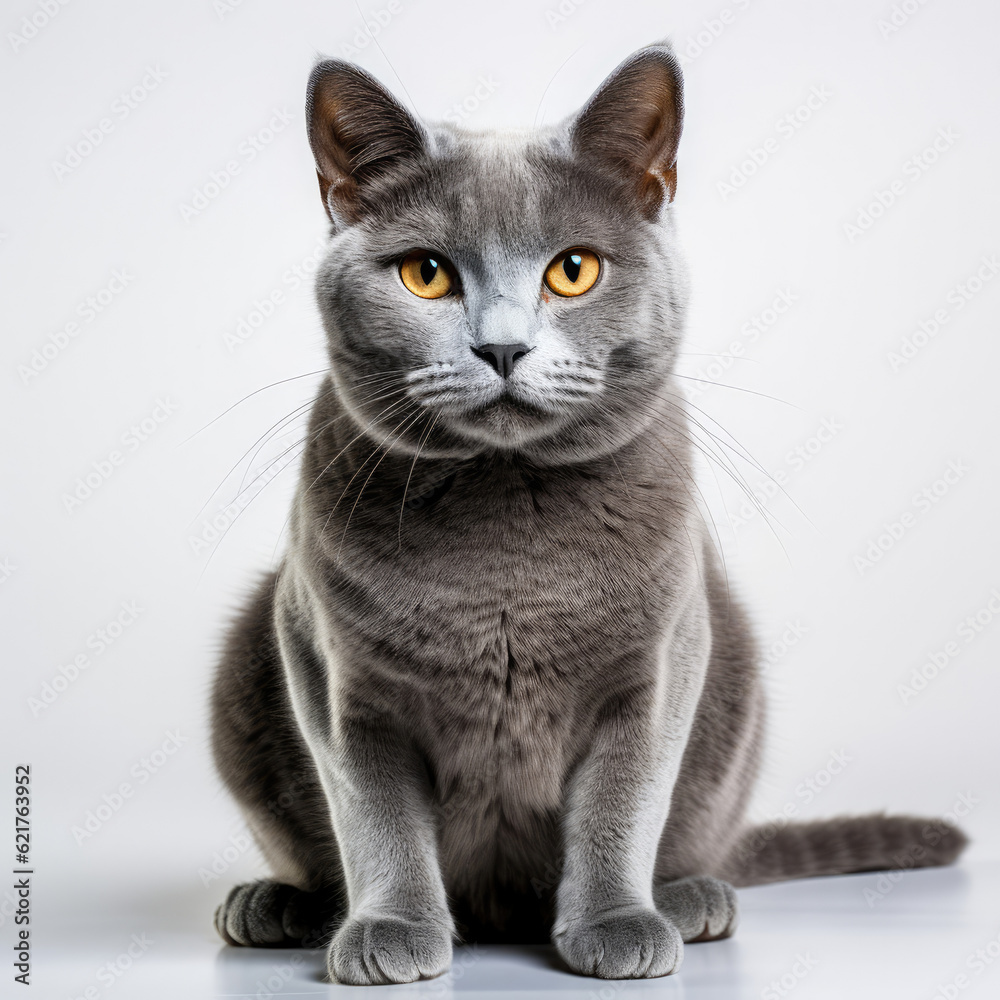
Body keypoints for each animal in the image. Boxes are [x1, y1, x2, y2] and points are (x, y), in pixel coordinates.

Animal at [213, 43, 968, 980]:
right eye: (427, 274)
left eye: (573, 270)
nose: (501, 347)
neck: (507, 540)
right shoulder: (331, 671)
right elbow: (373, 813)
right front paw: (390, 929)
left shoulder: (659, 666)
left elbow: (622, 801)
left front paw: (616, 923)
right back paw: (280, 907)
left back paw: (689, 899)